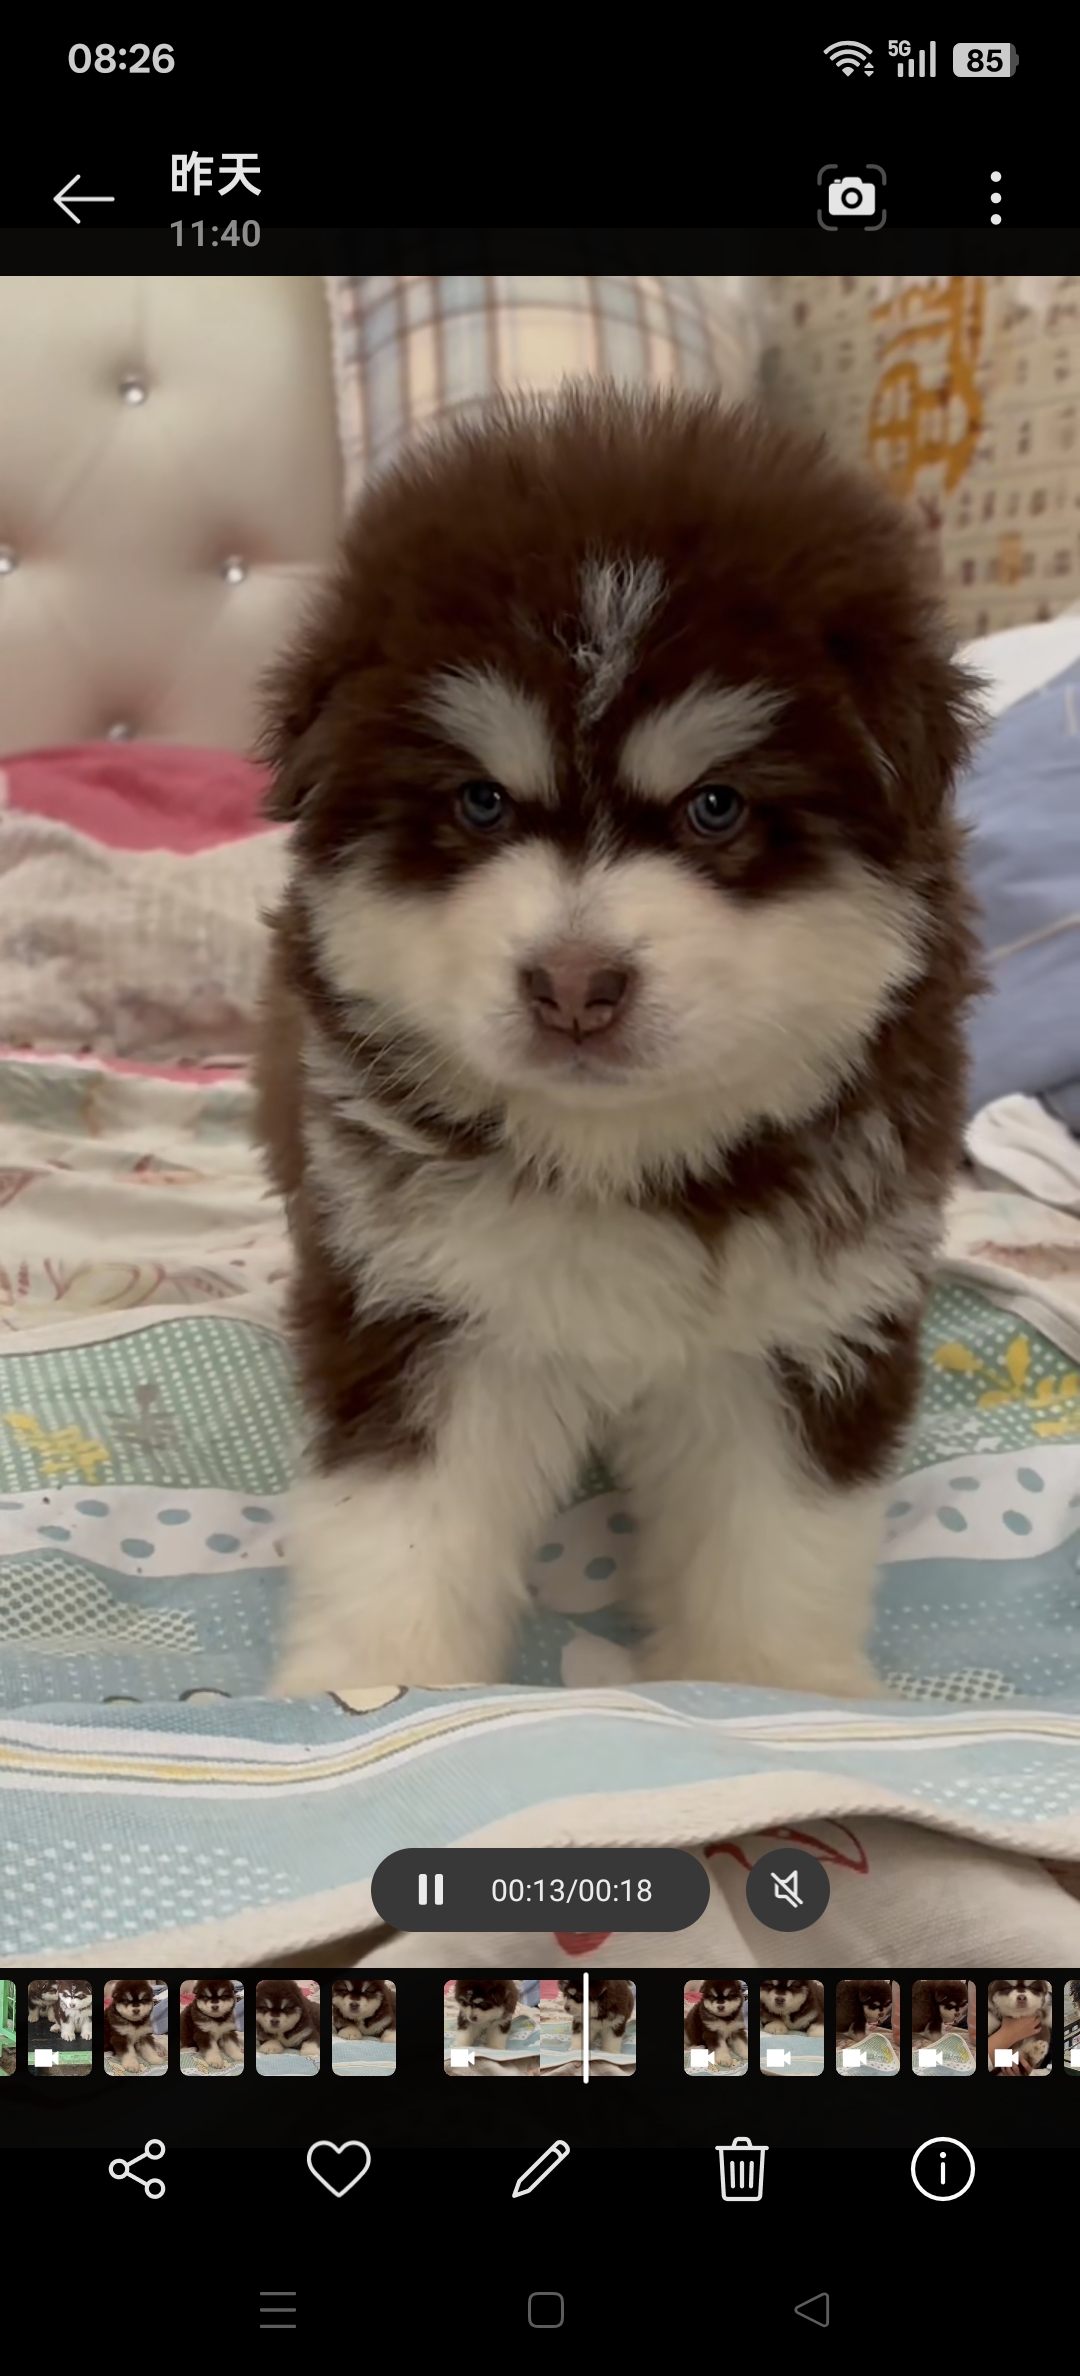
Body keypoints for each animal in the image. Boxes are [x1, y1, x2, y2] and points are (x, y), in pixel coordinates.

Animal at [254, 383, 983, 1694]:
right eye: (480, 802)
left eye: (717, 808)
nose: (575, 985)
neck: (620, 1151)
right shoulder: (419, 1302)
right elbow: (399, 1529)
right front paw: (370, 1684)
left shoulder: (806, 1324)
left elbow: (772, 1545)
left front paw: (773, 1690)